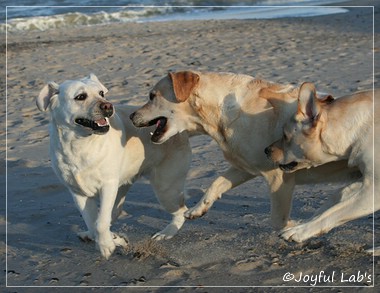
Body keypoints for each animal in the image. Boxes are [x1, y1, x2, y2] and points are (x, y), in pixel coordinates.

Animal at [37, 74, 191, 258]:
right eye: (80, 97)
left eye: (101, 93)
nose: (108, 106)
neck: (79, 144)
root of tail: (178, 127)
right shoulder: (77, 192)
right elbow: (92, 222)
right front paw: (113, 240)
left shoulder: (108, 185)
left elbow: (100, 222)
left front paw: (106, 245)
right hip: (125, 187)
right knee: (113, 213)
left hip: (165, 189)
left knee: (181, 211)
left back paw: (166, 233)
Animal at [130, 71, 360, 230]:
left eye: (152, 96)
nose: (131, 116)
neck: (219, 116)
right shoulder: (245, 167)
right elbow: (216, 183)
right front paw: (197, 209)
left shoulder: (278, 177)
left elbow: (277, 220)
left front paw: (295, 227)